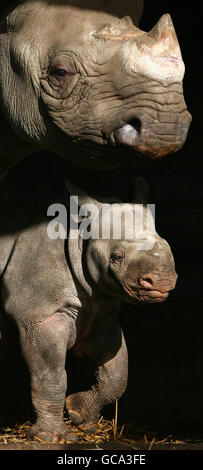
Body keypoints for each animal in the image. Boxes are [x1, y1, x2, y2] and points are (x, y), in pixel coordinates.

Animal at [0, 178, 176, 442]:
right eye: (116, 257)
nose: (162, 282)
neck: (80, 236)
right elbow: (51, 374)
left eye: (167, 246)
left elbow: (117, 373)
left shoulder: (101, 311)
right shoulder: (40, 315)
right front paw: (55, 438)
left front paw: (79, 415)